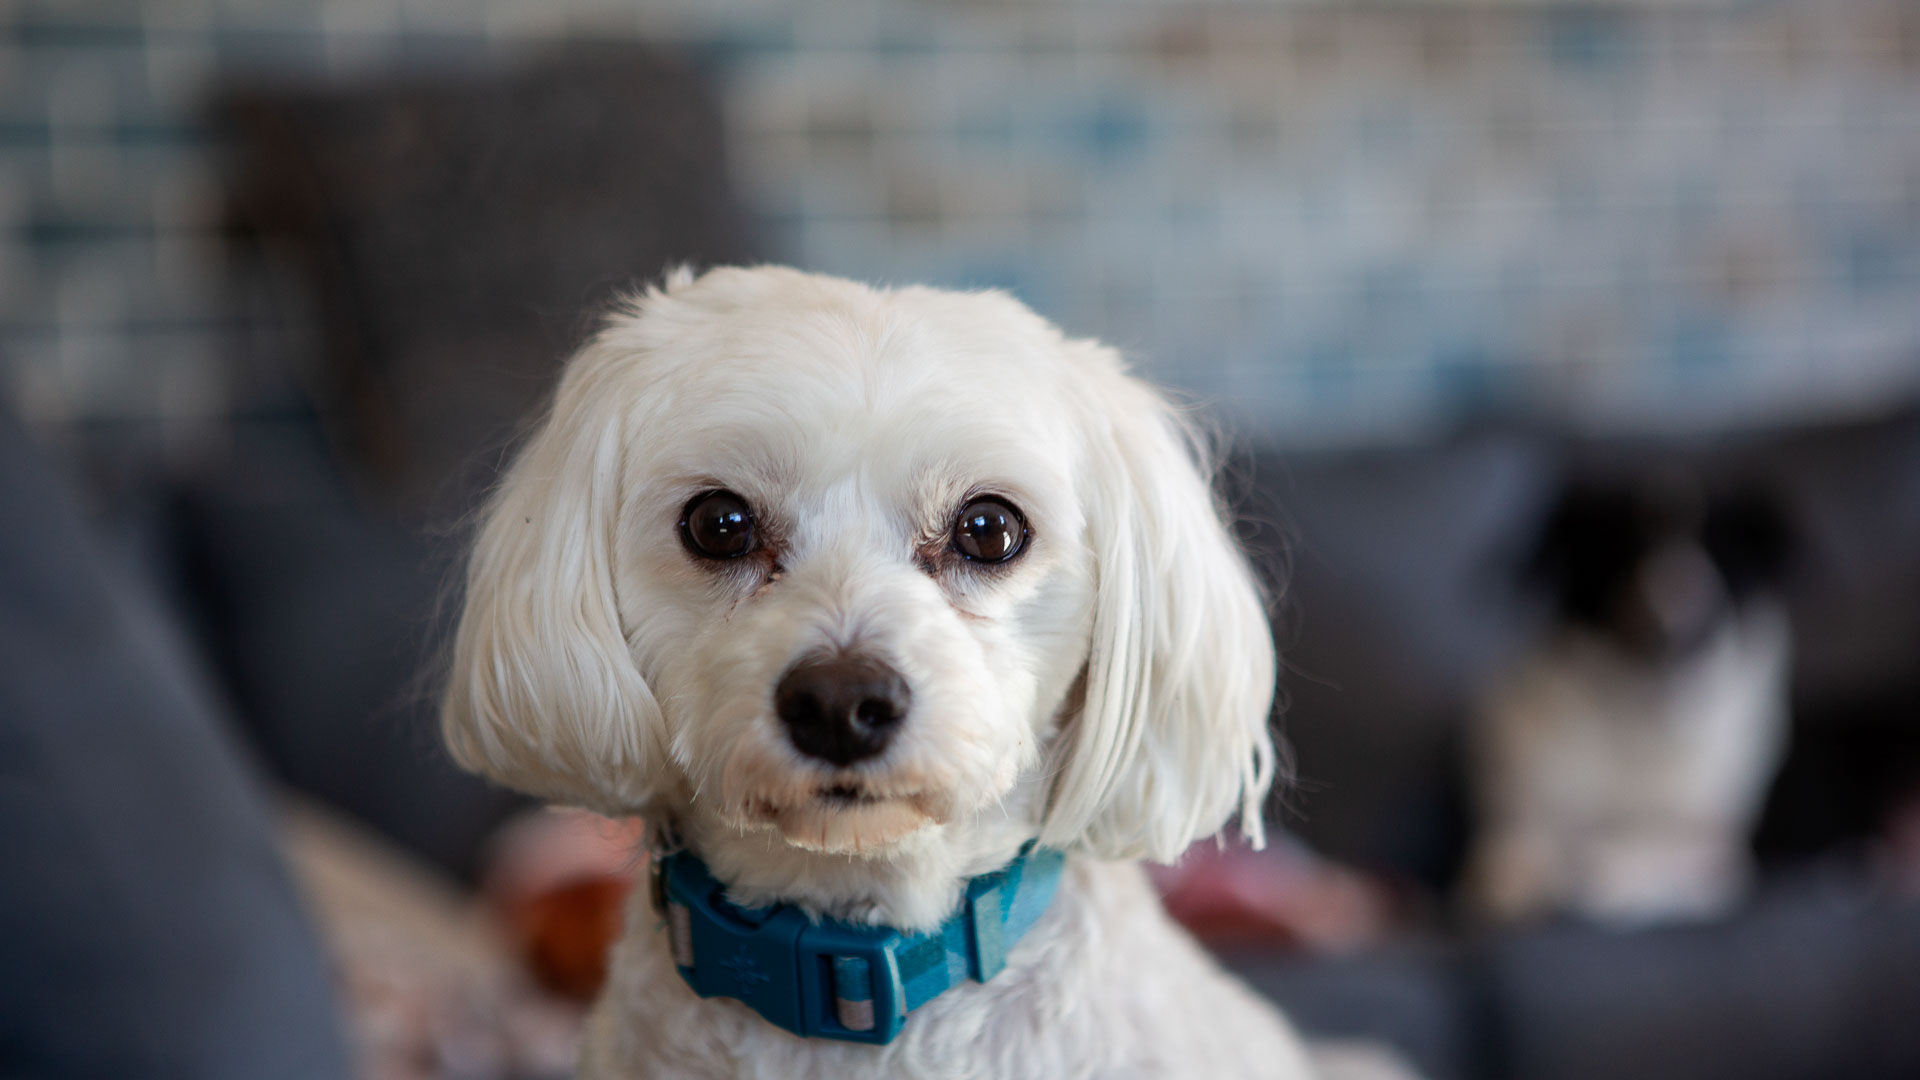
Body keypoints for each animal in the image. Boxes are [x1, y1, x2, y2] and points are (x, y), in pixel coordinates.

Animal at [1466, 474, 1797, 922]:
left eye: (1724, 550)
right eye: (1623, 546)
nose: (1686, 616)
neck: (1638, 729)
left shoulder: (1715, 853)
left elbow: (1643, 859)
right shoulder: (1521, 818)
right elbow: (1514, 857)